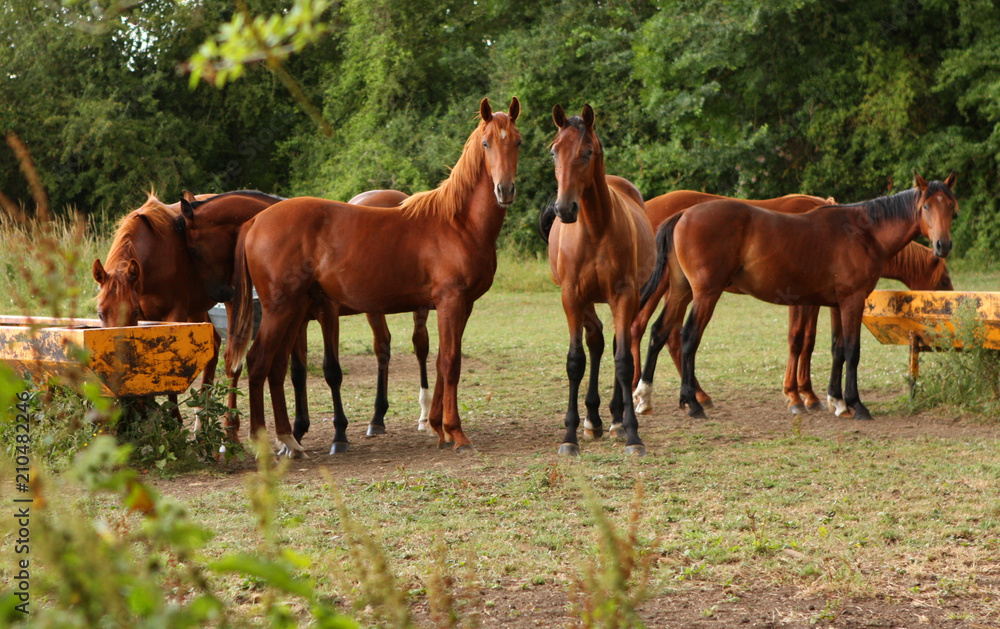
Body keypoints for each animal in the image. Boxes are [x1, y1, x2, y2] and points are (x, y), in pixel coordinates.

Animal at [176, 188, 434, 444]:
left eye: (194, 250)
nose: (220, 293)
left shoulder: (327, 316)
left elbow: (331, 370)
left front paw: (338, 433)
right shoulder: (298, 322)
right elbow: (297, 373)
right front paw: (297, 429)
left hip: (417, 308)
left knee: (420, 347)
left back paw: (424, 414)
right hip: (374, 310)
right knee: (382, 347)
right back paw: (378, 417)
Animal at [225, 97, 521, 455]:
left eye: (517, 142)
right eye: (486, 143)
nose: (505, 190)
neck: (458, 223)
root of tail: (256, 220)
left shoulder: (463, 305)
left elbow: (442, 362)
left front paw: (439, 428)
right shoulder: (450, 301)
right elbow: (450, 362)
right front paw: (457, 433)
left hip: (294, 311)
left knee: (276, 367)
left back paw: (290, 441)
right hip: (280, 310)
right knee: (257, 363)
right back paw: (263, 443)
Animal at [547, 103, 655, 457]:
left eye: (588, 152)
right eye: (554, 151)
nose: (565, 208)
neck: (594, 229)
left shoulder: (624, 295)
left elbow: (623, 361)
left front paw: (632, 435)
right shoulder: (572, 296)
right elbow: (576, 360)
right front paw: (569, 436)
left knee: (620, 342)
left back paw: (616, 420)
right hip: (587, 300)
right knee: (595, 342)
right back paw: (592, 419)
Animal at [641, 172, 957, 420]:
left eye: (952, 208)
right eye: (926, 206)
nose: (943, 245)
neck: (863, 233)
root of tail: (683, 214)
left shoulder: (835, 304)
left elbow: (836, 349)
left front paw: (836, 401)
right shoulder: (850, 302)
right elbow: (849, 350)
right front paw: (854, 404)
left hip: (680, 291)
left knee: (659, 332)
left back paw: (644, 396)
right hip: (705, 294)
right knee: (687, 337)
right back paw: (693, 402)